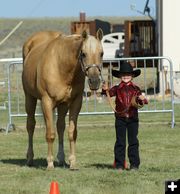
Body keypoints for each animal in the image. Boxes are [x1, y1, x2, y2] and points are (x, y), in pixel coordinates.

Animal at [22, 29, 104, 169]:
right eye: (83, 54)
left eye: (101, 53)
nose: (94, 81)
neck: (62, 66)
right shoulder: (47, 101)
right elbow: (50, 134)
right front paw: (50, 163)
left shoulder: (75, 102)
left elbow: (71, 132)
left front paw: (72, 162)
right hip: (30, 98)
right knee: (31, 126)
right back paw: (30, 158)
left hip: (62, 106)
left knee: (60, 126)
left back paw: (61, 159)